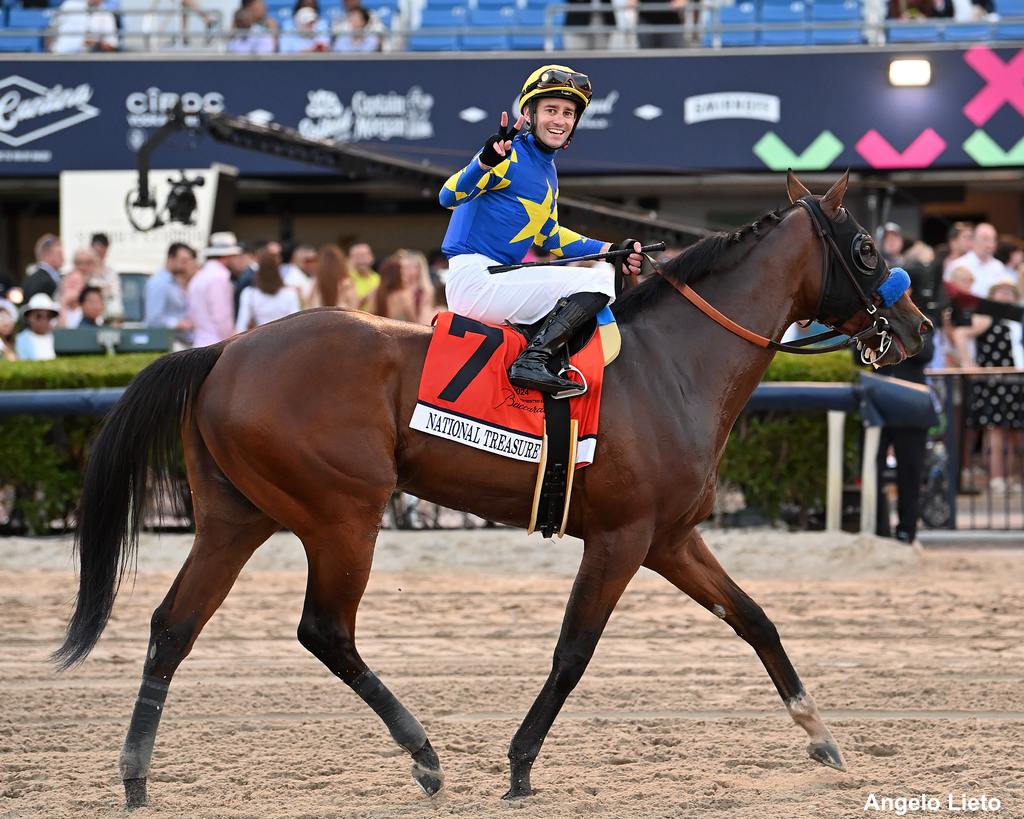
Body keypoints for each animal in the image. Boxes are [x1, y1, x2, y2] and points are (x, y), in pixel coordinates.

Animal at [58, 170, 937, 806]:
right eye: (865, 247)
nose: (921, 330)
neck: (673, 363)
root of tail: (224, 350)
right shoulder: (620, 538)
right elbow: (574, 651)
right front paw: (518, 765)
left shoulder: (671, 537)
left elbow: (755, 618)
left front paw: (820, 733)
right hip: (343, 515)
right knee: (324, 630)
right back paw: (423, 754)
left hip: (235, 518)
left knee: (174, 626)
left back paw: (135, 776)